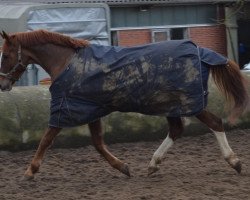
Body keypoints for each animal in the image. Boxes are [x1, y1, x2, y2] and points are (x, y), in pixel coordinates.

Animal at [0, 30, 248, 180]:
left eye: (5, 55)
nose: (3, 84)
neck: (66, 62)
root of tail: (200, 51)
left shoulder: (66, 109)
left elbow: (46, 140)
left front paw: (30, 171)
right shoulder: (91, 110)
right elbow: (98, 143)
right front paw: (124, 167)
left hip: (188, 102)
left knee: (214, 122)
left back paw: (234, 161)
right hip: (172, 105)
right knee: (177, 129)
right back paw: (153, 164)